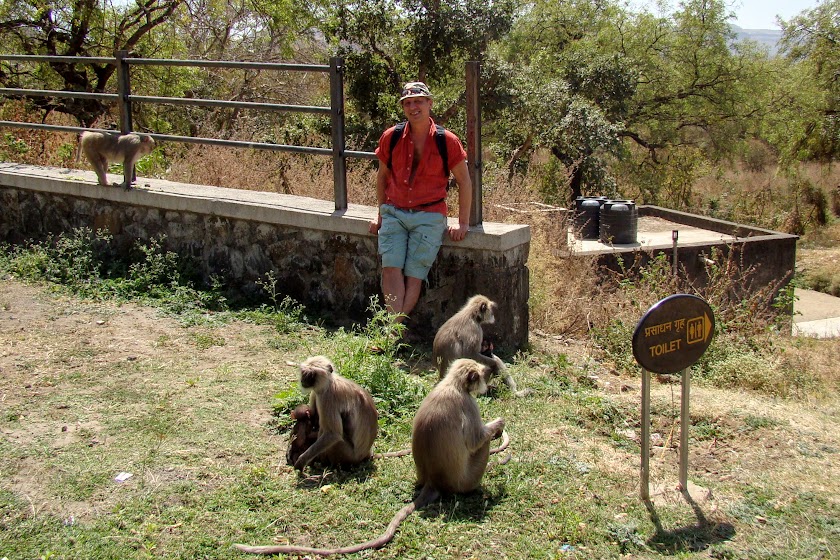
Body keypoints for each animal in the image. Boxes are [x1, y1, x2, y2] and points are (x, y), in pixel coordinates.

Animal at [233, 358, 506, 556]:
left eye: (310, 374)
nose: (303, 379)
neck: (453, 385)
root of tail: (433, 481)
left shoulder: (324, 394)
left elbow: (324, 427)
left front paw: (299, 458)